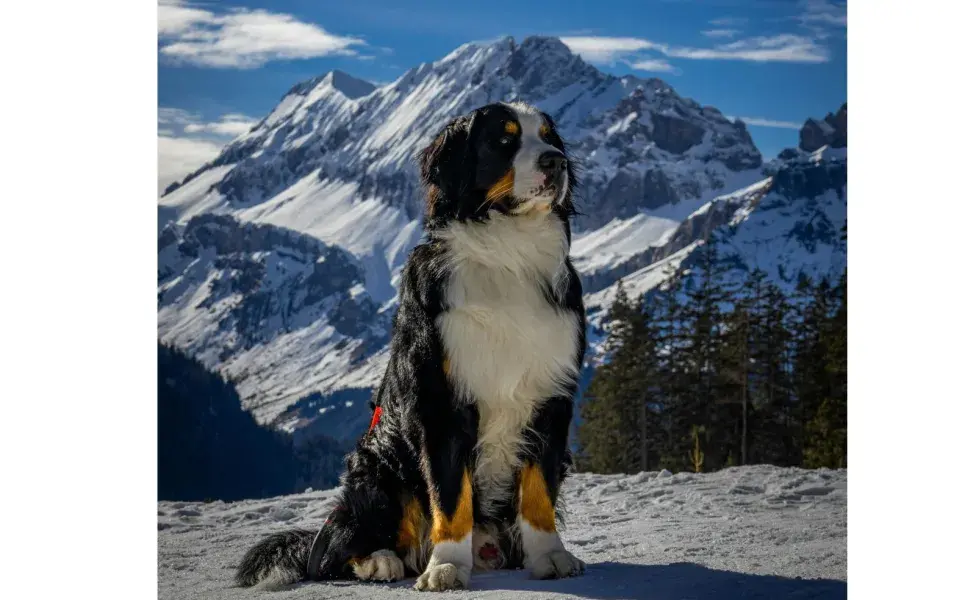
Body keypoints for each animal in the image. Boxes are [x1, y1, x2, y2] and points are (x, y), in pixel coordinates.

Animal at [234, 102, 588, 592]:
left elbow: (537, 492)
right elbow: (450, 498)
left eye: (550, 137)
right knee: (341, 547)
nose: (557, 162)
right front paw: (446, 566)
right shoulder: (441, 403)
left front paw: (550, 556)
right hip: (378, 469)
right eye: (504, 140)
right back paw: (380, 561)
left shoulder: (551, 396)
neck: (508, 255)